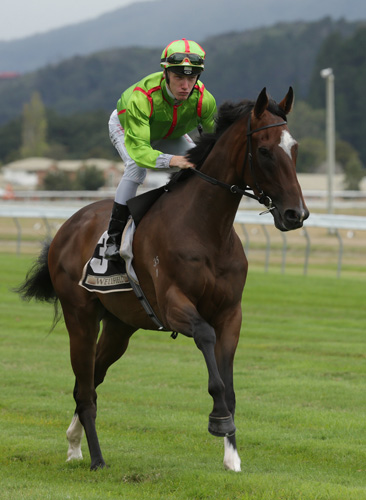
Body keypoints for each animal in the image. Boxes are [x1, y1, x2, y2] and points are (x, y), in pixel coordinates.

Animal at [17, 87, 308, 472]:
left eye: (294, 148)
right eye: (263, 150)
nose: (296, 214)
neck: (207, 229)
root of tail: (68, 226)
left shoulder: (231, 313)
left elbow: (229, 383)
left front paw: (232, 456)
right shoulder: (173, 305)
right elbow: (206, 340)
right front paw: (219, 420)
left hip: (120, 326)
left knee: (92, 378)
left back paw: (74, 444)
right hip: (79, 316)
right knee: (84, 386)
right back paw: (95, 458)